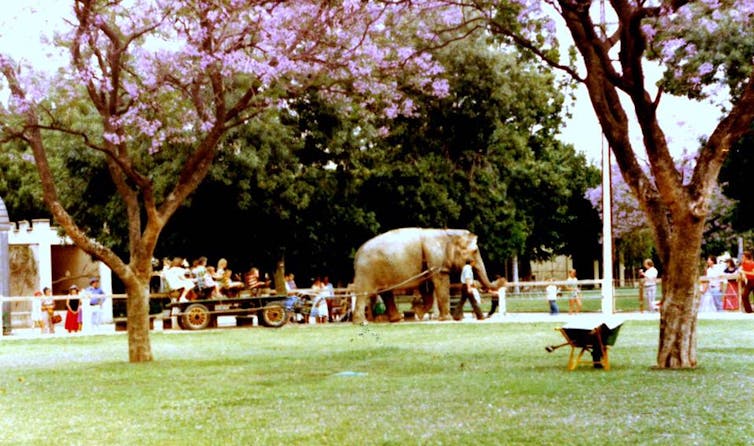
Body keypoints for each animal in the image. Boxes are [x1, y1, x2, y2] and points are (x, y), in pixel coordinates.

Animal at [352, 227, 494, 323]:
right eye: (475, 251)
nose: (481, 287)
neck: (447, 232)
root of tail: (357, 254)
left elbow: (428, 290)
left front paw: (417, 312)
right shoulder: (435, 260)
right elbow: (441, 283)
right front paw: (446, 319)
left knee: (386, 293)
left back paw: (397, 319)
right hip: (367, 271)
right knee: (364, 294)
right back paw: (361, 322)